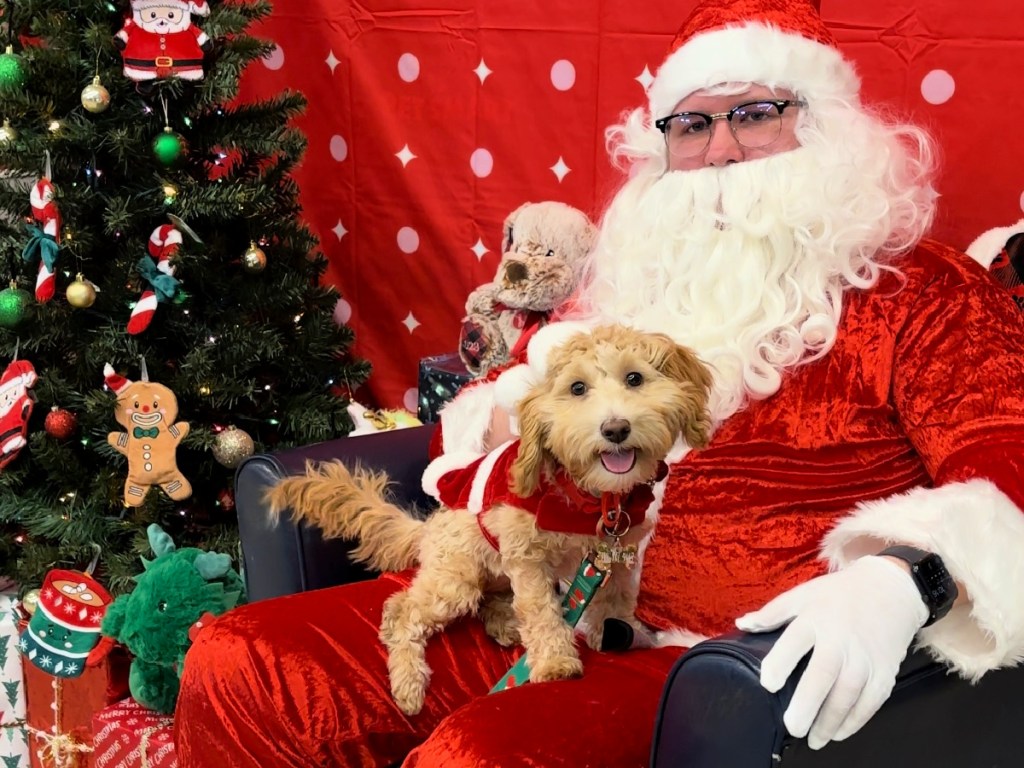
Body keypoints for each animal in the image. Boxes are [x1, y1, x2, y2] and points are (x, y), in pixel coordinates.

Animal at [264, 325, 712, 716]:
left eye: (635, 378)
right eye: (577, 388)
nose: (615, 429)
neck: (592, 497)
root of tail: (427, 529)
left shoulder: (617, 552)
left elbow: (616, 597)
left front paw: (617, 631)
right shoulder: (526, 554)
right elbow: (540, 609)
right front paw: (554, 662)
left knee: (490, 601)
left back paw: (504, 625)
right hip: (457, 575)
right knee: (401, 610)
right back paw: (409, 682)